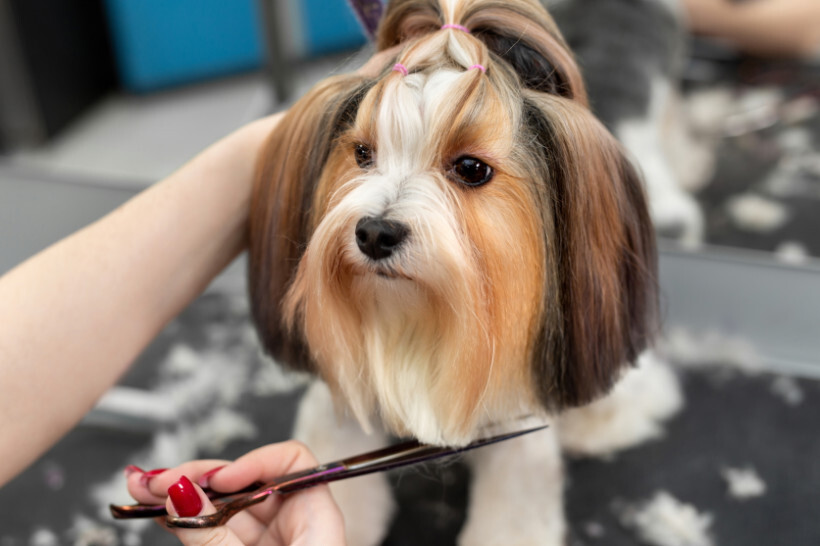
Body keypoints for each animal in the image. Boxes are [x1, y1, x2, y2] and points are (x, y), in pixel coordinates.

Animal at [251, 0, 684, 540]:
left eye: (471, 169)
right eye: (363, 154)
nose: (374, 232)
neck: (416, 320)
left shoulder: (515, 423)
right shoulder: (341, 400)